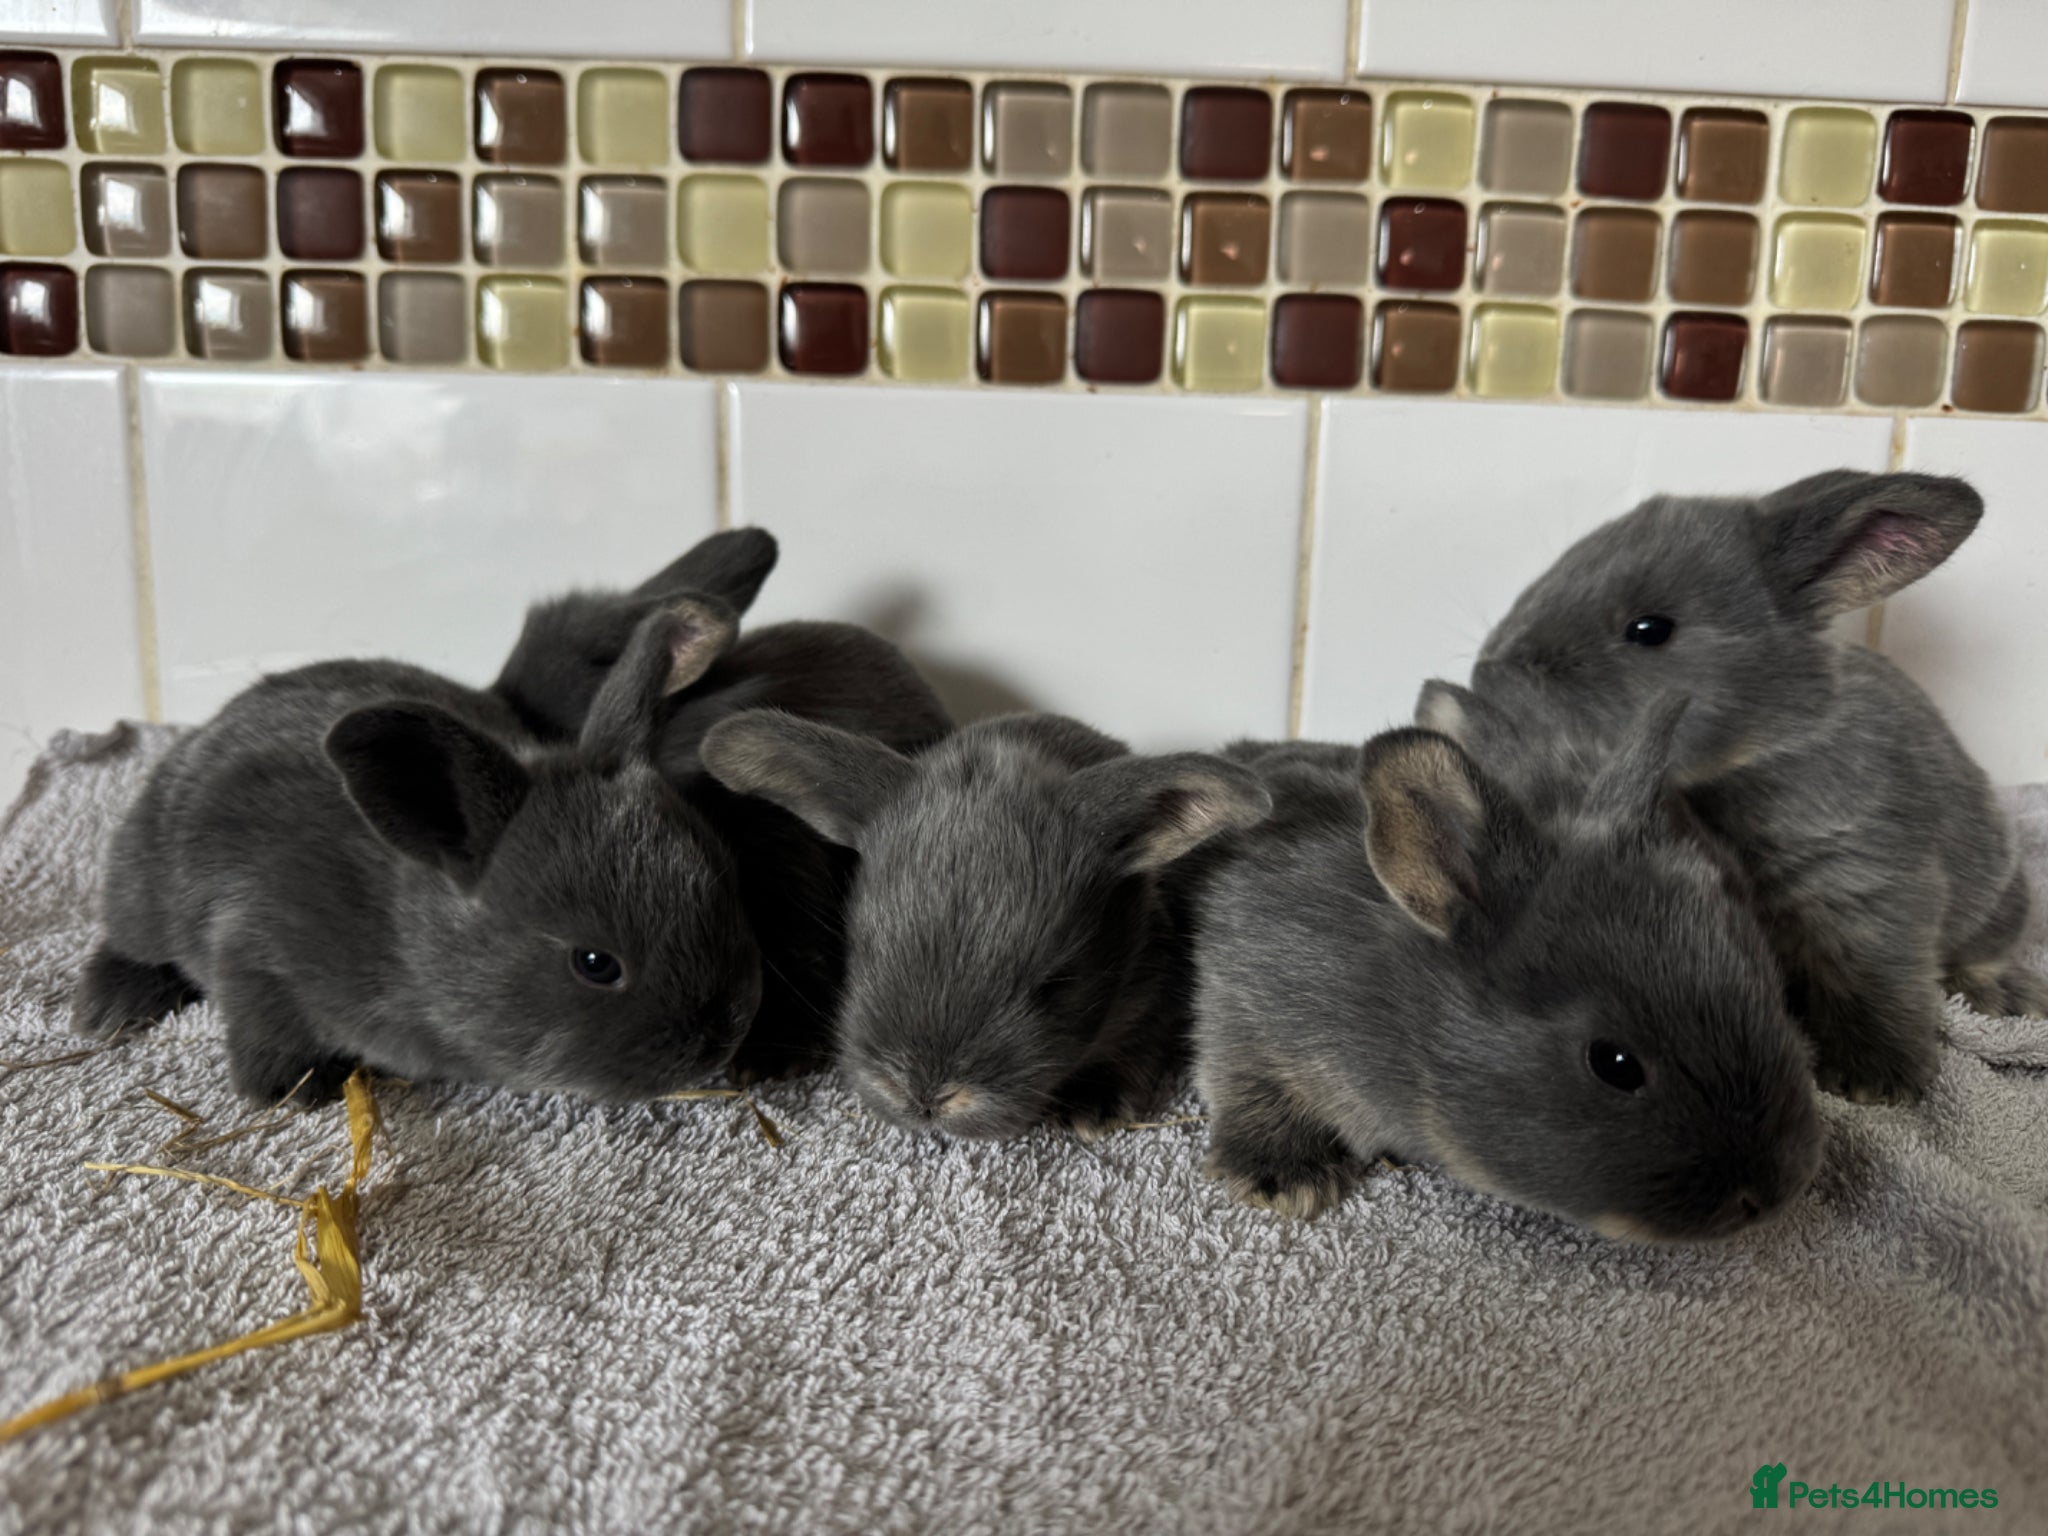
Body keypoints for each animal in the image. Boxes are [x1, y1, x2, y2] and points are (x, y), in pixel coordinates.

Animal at [72, 599, 765, 1105]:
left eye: (730, 889)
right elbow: (263, 1027)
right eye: (595, 963)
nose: (722, 1038)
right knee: (129, 940)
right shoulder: (252, 946)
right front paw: (295, 1090)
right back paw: (110, 1006)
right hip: (145, 892)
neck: (405, 937)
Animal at [1190, 697, 1823, 1238]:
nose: (1772, 1194)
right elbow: (1247, 1083)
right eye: (1614, 1064)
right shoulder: (1245, 1006)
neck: (1394, 1004)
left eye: (1773, 996)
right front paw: (1286, 1178)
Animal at [1456, 469, 2046, 1105]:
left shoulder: (1867, 884)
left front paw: (1874, 1079)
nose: (1485, 674)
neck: (1762, 749)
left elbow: (1876, 977)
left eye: (1649, 630)